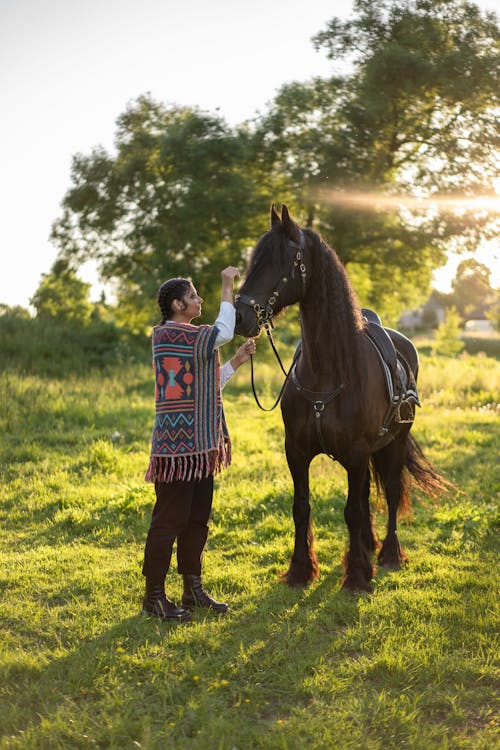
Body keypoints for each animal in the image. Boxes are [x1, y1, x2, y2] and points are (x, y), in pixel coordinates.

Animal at [234, 204, 446, 592]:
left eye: (282, 262)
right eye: (254, 260)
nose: (241, 316)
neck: (327, 371)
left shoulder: (357, 452)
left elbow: (353, 510)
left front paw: (359, 576)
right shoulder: (297, 451)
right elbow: (302, 507)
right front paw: (301, 570)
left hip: (393, 443)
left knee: (391, 491)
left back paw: (388, 554)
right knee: (365, 497)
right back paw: (369, 544)